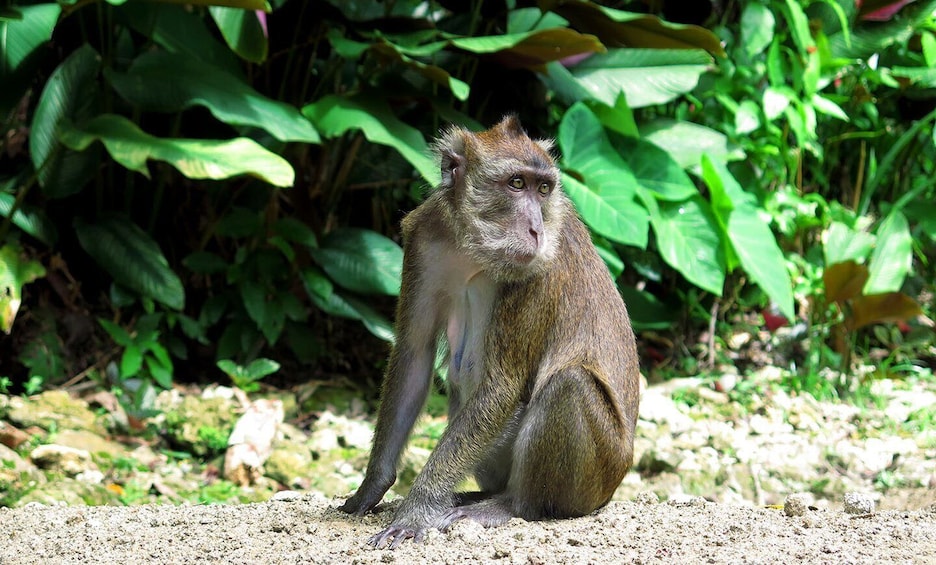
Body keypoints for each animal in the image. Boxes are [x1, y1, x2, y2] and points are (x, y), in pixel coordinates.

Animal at [340, 113, 640, 548]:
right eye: (516, 184)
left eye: (543, 188)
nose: (535, 230)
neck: (472, 248)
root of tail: (614, 484)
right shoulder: (423, 240)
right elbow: (414, 354)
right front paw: (371, 487)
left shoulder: (539, 271)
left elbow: (503, 386)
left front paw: (416, 509)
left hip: (596, 475)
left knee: (570, 384)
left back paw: (508, 505)